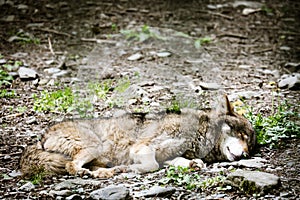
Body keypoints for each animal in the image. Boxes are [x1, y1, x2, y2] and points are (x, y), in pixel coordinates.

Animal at [20, 95, 255, 178]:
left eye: (251, 146)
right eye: (241, 134)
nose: (245, 155)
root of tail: (39, 139)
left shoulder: (169, 155)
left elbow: (182, 162)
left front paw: (193, 164)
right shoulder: (143, 147)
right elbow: (151, 165)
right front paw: (132, 168)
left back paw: (108, 172)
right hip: (94, 146)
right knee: (72, 167)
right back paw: (94, 174)